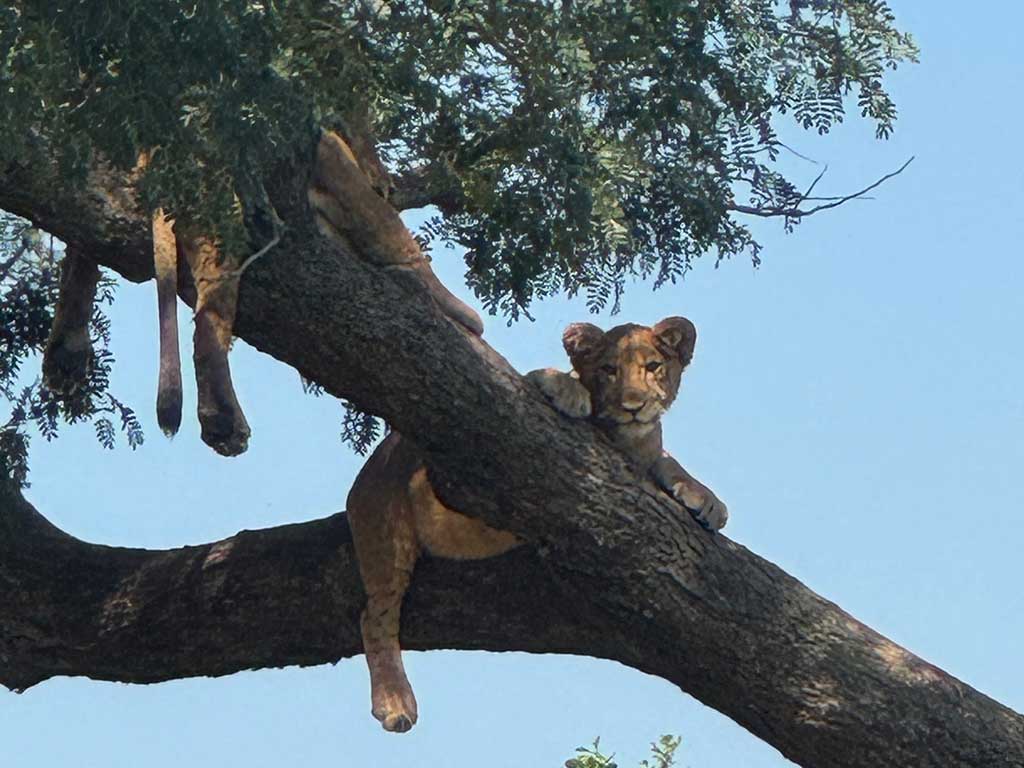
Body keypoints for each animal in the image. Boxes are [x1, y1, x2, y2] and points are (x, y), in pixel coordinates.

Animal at [346, 316, 728, 733]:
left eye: (654, 366)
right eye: (609, 370)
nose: (633, 406)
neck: (629, 441)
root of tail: (362, 480)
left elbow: (666, 458)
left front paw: (707, 500)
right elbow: (532, 380)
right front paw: (567, 389)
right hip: (388, 529)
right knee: (375, 617)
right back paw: (395, 702)